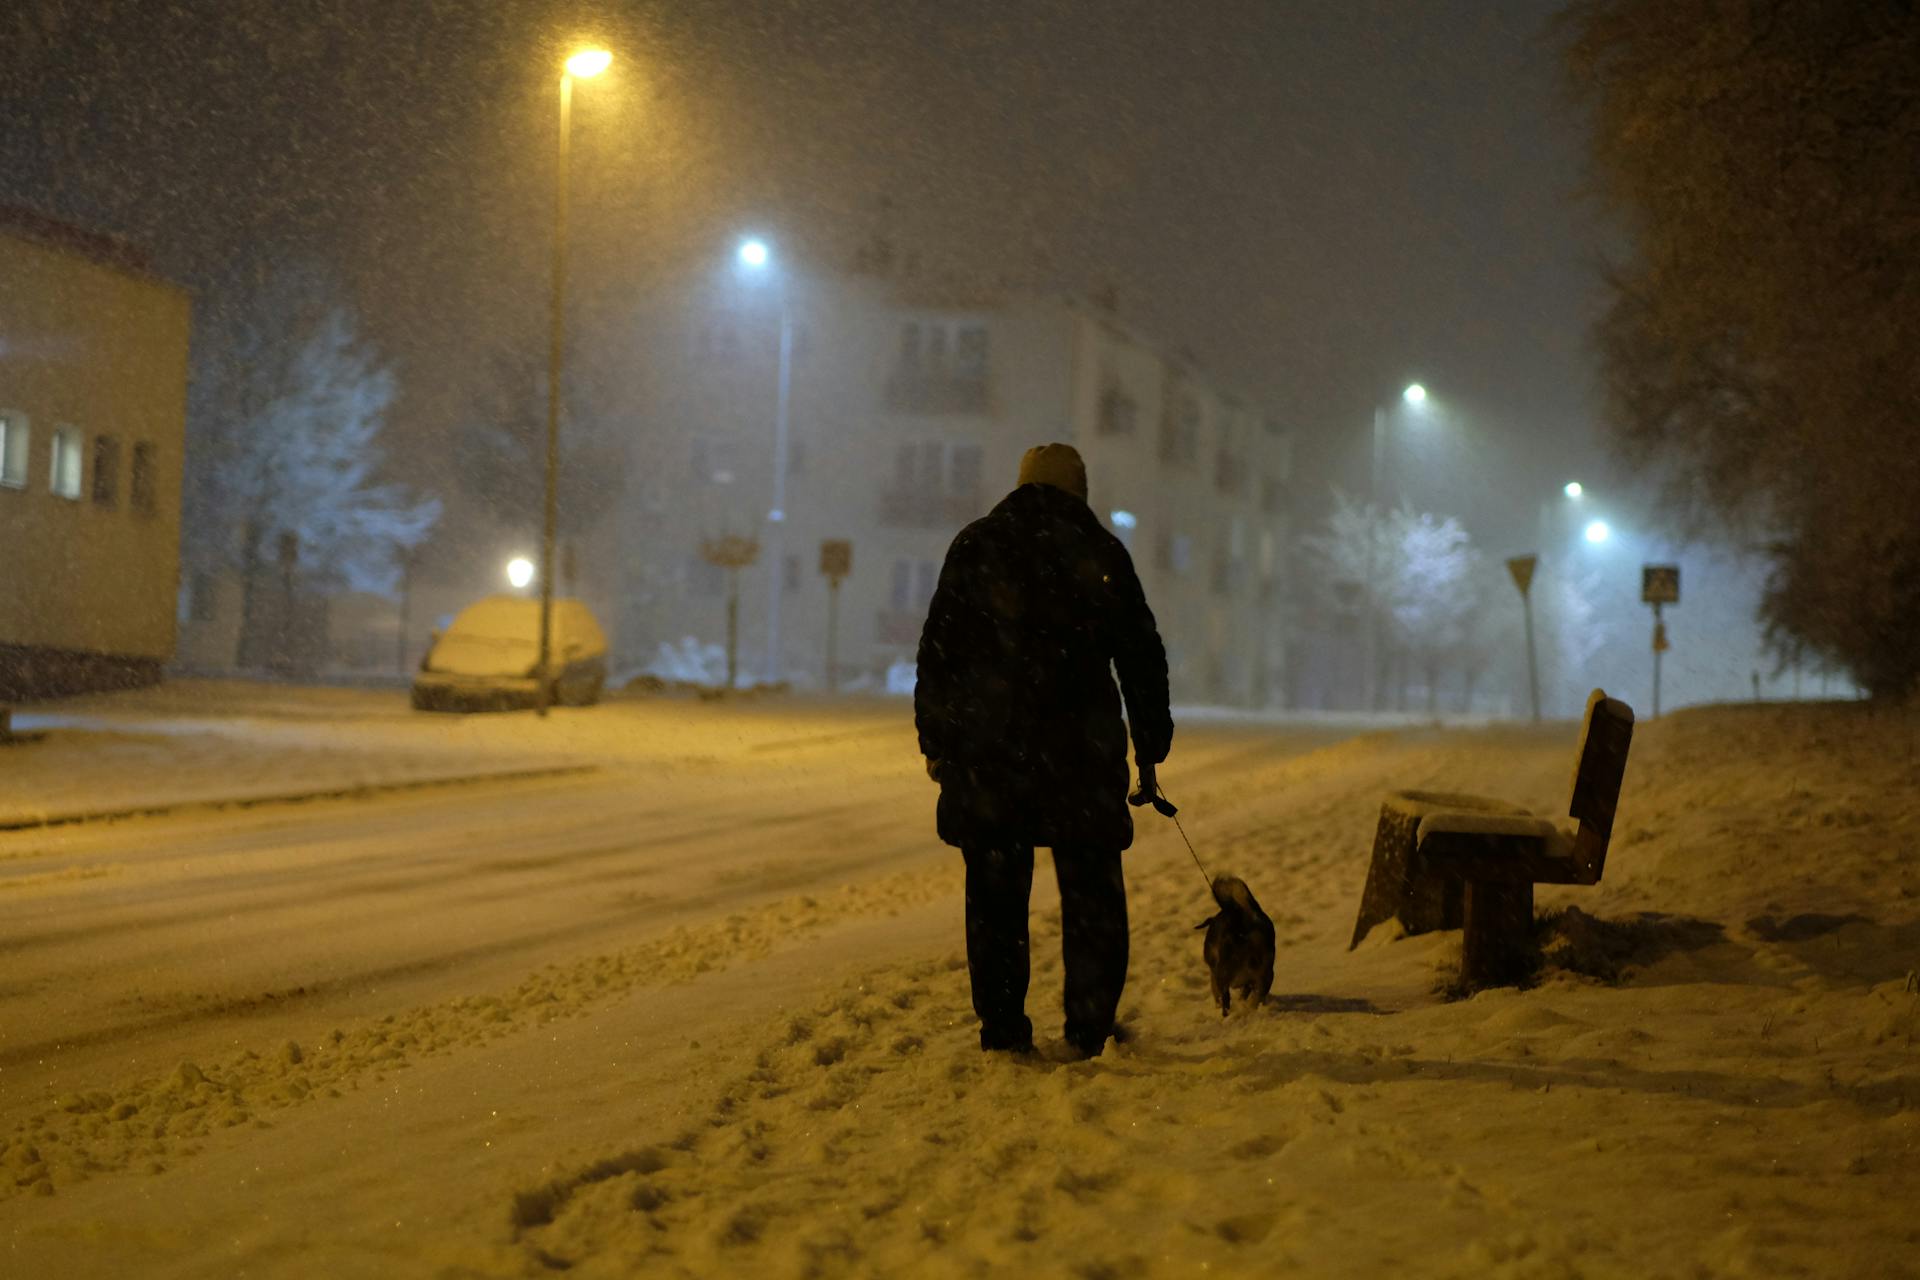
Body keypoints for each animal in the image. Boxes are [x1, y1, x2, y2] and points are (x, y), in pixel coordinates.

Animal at [1182, 875, 1274, 1013]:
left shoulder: (1217, 976)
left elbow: (1218, 995)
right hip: (1265, 975)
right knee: (1257, 995)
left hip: (1223, 975)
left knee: (1225, 999)